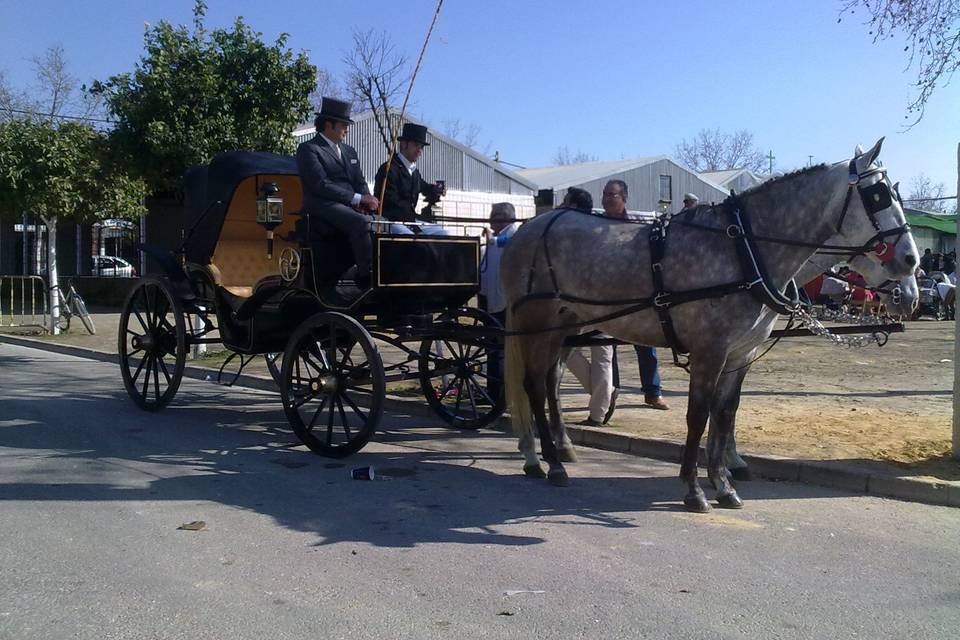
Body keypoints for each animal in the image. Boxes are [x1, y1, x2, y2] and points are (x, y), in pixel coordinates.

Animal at [498, 141, 920, 516]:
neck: (744, 250)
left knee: (550, 382)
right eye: (879, 194)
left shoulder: (740, 354)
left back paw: (555, 450)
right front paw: (694, 489)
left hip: (565, 327)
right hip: (537, 325)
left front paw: (723, 484)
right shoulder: (709, 352)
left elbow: (725, 413)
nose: (911, 262)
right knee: (534, 385)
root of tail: (527, 229)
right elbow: (698, 415)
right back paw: (548, 463)